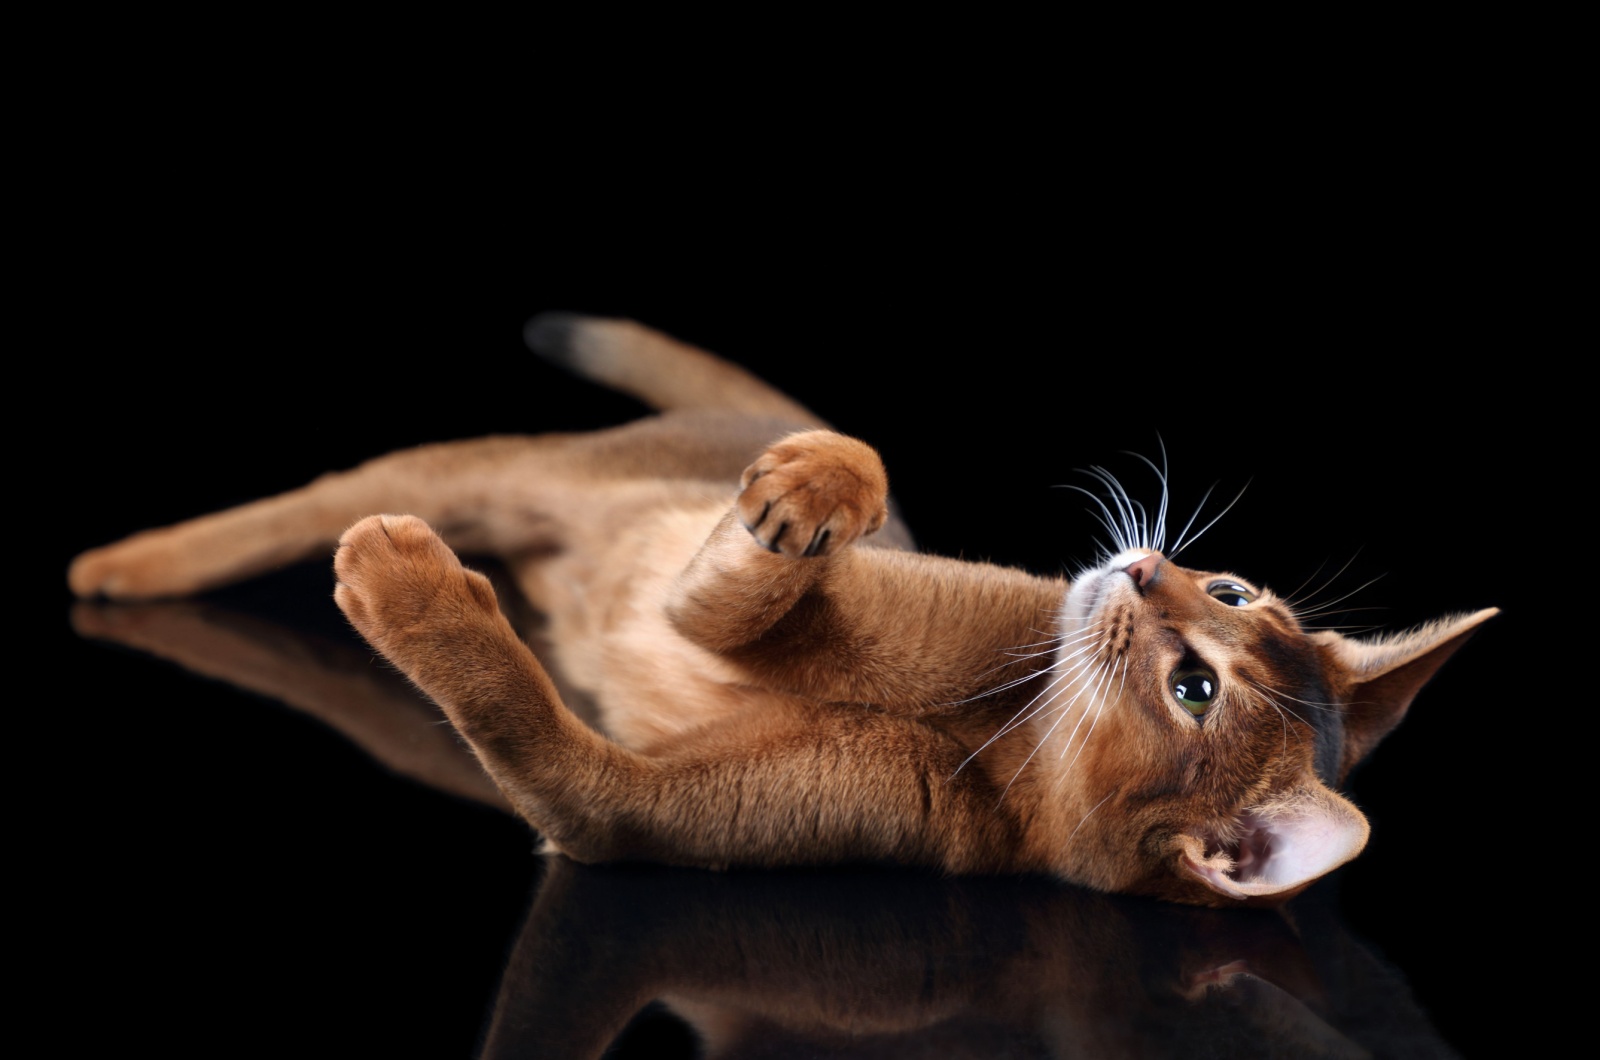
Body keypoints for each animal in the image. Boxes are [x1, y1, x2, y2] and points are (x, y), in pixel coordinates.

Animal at [68, 315, 1491, 915]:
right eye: (1234, 590)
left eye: (1195, 688)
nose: (1147, 571)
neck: (992, 734)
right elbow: (840, 479)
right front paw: (814, 487)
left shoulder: (614, 809)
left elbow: (525, 717)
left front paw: (413, 593)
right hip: (504, 468)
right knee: (316, 495)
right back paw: (118, 565)